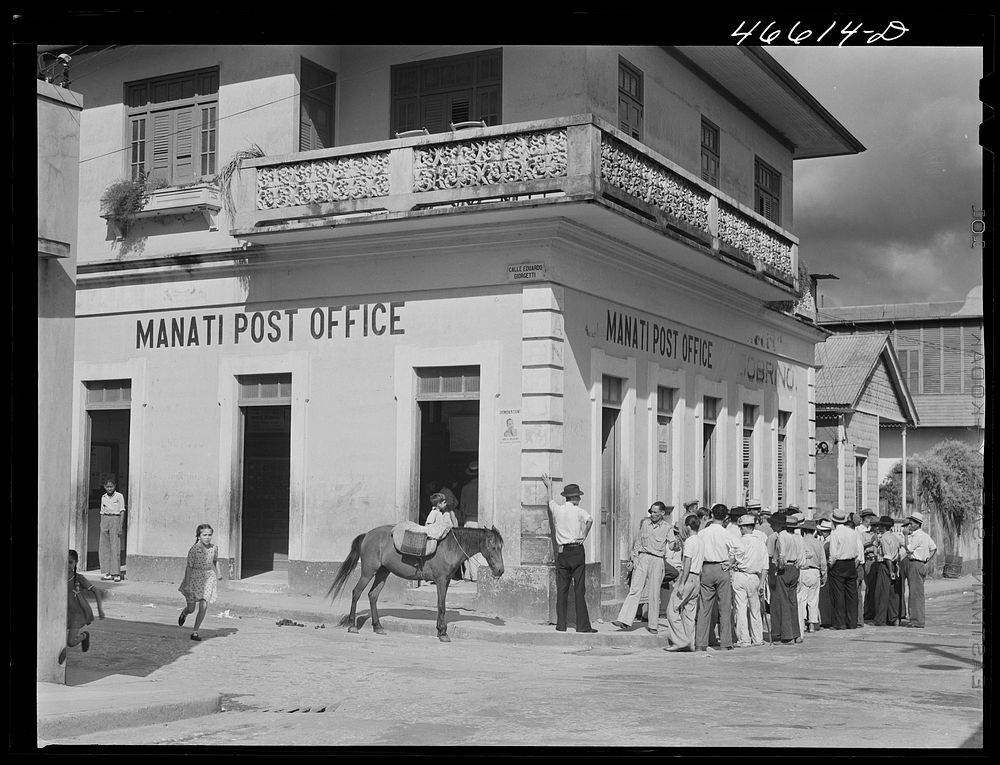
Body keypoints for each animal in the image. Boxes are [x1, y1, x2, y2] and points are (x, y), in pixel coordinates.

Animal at [328, 524, 504, 640]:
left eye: (501, 547)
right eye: (493, 547)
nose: (500, 570)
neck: (451, 547)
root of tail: (367, 535)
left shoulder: (445, 581)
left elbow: (441, 604)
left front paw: (440, 630)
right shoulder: (441, 580)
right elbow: (441, 605)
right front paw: (443, 632)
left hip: (383, 572)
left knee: (373, 595)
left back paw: (378, 626)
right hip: (368, 571)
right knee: (356, 593)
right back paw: (352, 625)